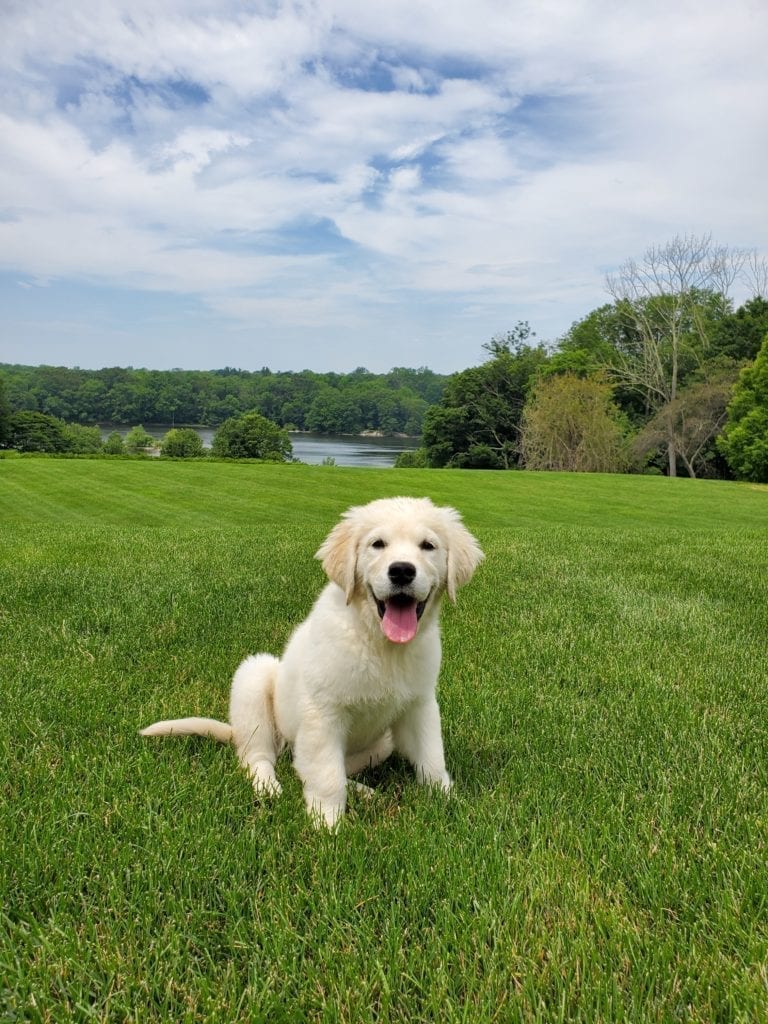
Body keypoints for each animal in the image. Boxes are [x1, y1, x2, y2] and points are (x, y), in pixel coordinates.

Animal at [141, 493, 483, 823]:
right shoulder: (323, 713)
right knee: (258, 757)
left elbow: (431, 759)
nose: (401, 570)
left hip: (381, 742)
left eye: (428, 546)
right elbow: (327, 776)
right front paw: (327, 825)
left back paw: (364, 792)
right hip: (255, 681)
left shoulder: (419, 705)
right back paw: (267, 786)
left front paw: (449, 803)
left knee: (319, 768)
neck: (379, 642)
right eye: (377, 544)